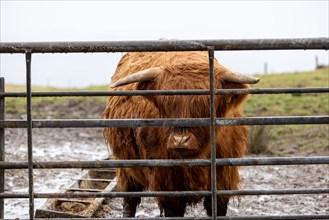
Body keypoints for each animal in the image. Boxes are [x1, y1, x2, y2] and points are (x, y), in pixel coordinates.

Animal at [102, 50, 258, 217]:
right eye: (166, 104)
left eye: (206, 106)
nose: (180, 140)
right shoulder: (168, 184)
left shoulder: (223, 180)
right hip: (126, 169)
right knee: (129, 200)